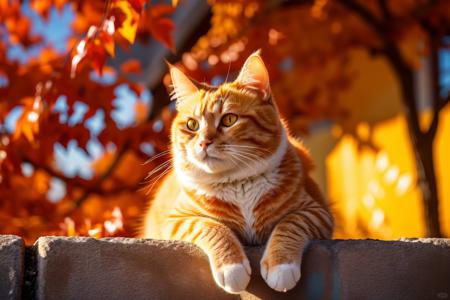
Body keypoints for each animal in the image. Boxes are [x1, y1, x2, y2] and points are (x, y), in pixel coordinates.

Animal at [142, 51, 334, 292]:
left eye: (229, 119)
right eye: (192, 125)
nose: (204, 142)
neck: (238, 185)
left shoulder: (317, 212)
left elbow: (291, 223)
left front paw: (281, 266)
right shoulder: (177, 219)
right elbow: (211, 226)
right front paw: (231, 267)